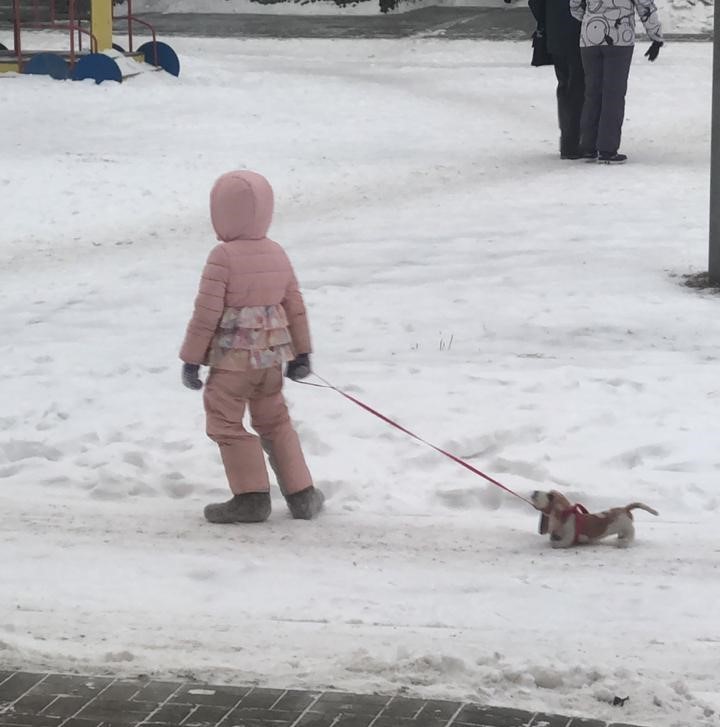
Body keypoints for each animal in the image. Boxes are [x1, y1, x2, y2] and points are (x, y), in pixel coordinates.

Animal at [528, 492, 660, 548]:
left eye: (550, 496)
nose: (535, 491)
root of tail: (625, 509)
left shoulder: (568, 538)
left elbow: (559, 543)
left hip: (628, 528)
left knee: (630, 536)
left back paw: (623, 543)